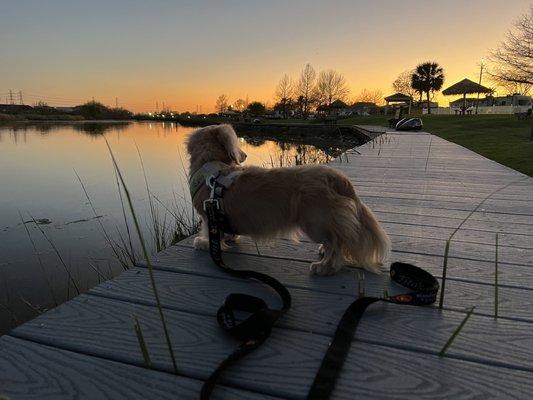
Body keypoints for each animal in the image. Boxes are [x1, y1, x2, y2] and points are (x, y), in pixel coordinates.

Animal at [187, 124, 390, 276]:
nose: (244, 155)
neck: (213, 167)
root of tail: (336, 177)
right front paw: (229, 237)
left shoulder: (209, 216)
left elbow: (211, 233)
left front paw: (204, 243)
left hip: (315, 222)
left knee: (335, 244)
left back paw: (324, 266)